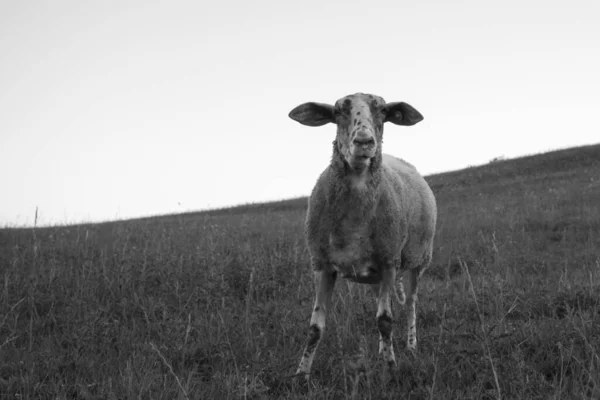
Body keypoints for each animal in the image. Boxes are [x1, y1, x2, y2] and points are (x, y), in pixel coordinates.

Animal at [290, 93, 436, 376]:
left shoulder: (389, 261)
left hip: (418, 260)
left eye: (384, 111)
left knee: (411, 304)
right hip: (376, 274)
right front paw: (301, 374)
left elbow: (386, 320)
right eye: (337, 111)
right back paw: (383, 349)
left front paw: (391, 368)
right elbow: (315, 328)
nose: (364, 142)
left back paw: (411, 345)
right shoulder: (322, 265)